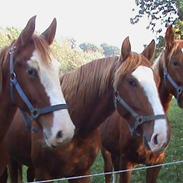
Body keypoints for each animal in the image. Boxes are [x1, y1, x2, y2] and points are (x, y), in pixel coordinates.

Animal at [2, 36, 169, 182]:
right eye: (131, 81)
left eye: (156, 79)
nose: (161, 136)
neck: (77, 131)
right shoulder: (44, 175)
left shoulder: (82, 174)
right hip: (11, 161)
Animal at [99, 25, 183, 182]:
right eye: (176, 63)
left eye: (155, 79)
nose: (160, 136)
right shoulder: (126, 164)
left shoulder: (156, 164)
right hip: (106, 152)